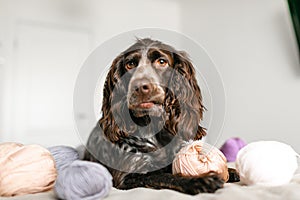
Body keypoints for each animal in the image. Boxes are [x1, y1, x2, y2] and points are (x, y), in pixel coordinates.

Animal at [84, 38, 237, 195]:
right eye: (130, 64)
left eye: (161, 61)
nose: (140, 87)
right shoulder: (127, 177)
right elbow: (167, 176)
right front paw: (200, 179)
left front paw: (229, 170)